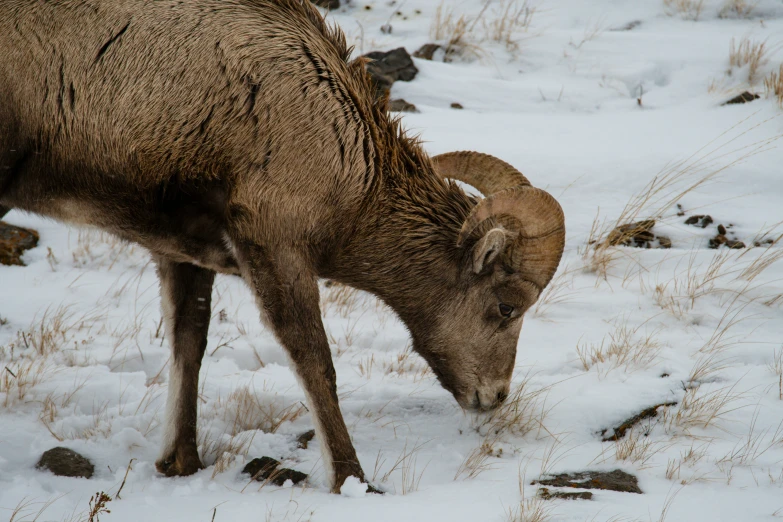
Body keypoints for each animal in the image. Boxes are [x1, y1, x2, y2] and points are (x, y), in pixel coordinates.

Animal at [0, 0, 564, 490]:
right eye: (507, 306)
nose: (493, 397)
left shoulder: (184, 250)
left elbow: (189, 340)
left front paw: (180, 463)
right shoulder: (276, 247)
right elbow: (314, 361)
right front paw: (352, 480)